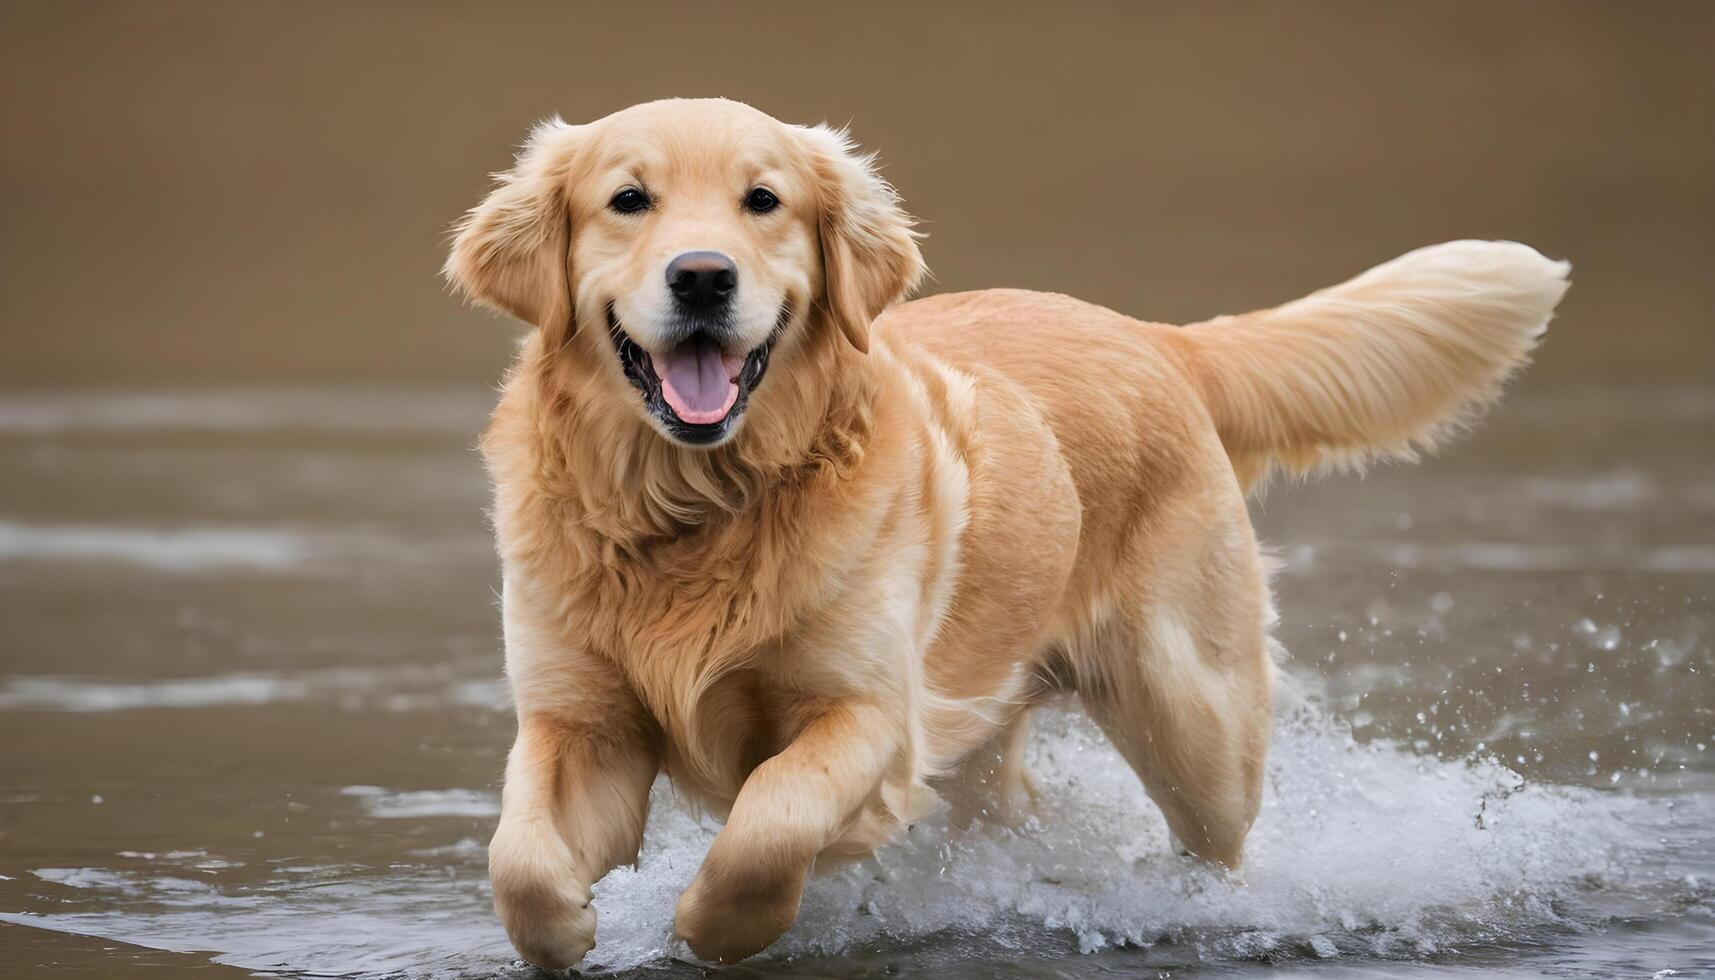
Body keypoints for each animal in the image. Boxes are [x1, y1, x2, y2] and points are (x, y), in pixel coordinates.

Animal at [442, 95, 1570, 967]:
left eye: (763, 201)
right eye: (627, 200)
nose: (703, 276)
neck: (697, 508)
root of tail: (1158, 337)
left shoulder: (868, 715)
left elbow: (769, 818)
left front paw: (714, 926)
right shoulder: (578, 722)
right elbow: (520, 859)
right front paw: (566, 928)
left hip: (1190, 714)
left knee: (1221, 841)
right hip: (995, 730)